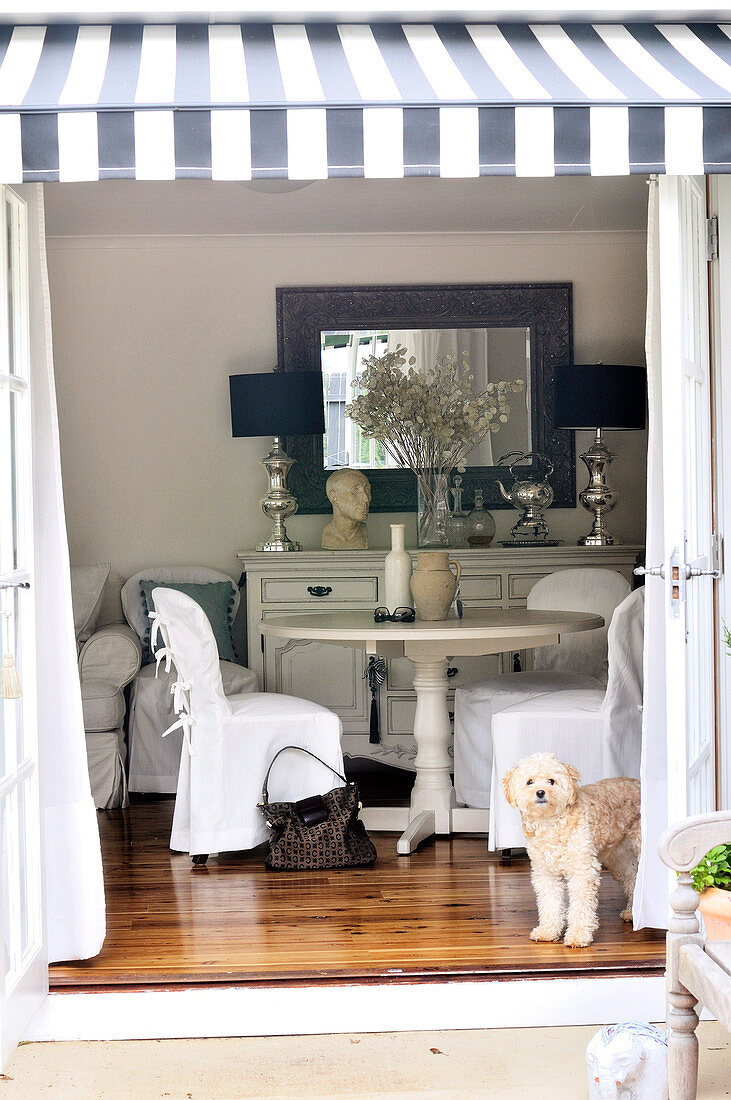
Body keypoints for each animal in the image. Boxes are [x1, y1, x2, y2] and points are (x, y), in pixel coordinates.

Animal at [501, 752, 637, 950]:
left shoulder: (582, 870)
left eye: (551, 781)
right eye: (529, 782)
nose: (540, 792)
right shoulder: (546, 873)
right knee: (632, 878)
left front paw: (579, 935)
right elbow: (549, 903)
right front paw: (548, 931)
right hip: (619, 857)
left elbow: (580, 906)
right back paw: (632, 912)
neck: (551, 823)